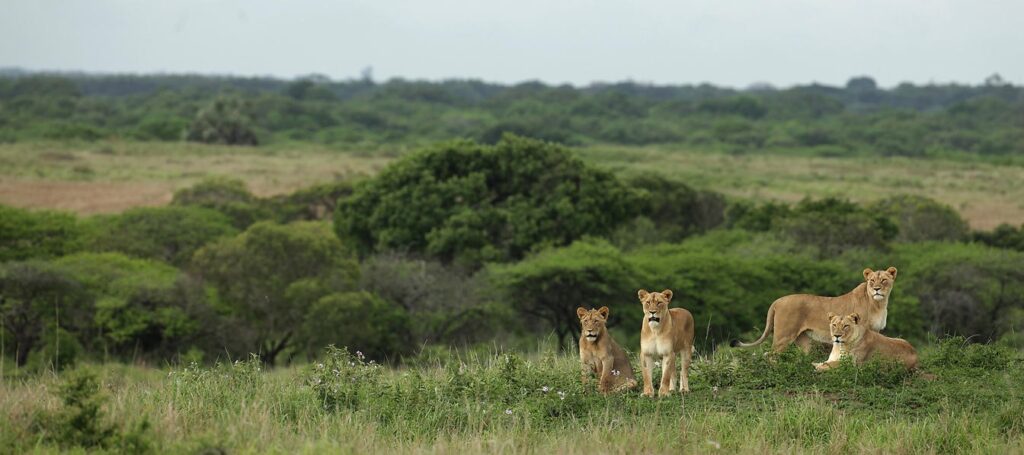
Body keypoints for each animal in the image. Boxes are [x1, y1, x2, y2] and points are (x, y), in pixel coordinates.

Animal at [733, 264, 901, 354]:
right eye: (871, 281)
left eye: (883, 280)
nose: (877, 289)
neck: (878, 304)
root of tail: (778, 300)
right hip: (783, 336)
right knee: (770, 355)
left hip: (803, 340)